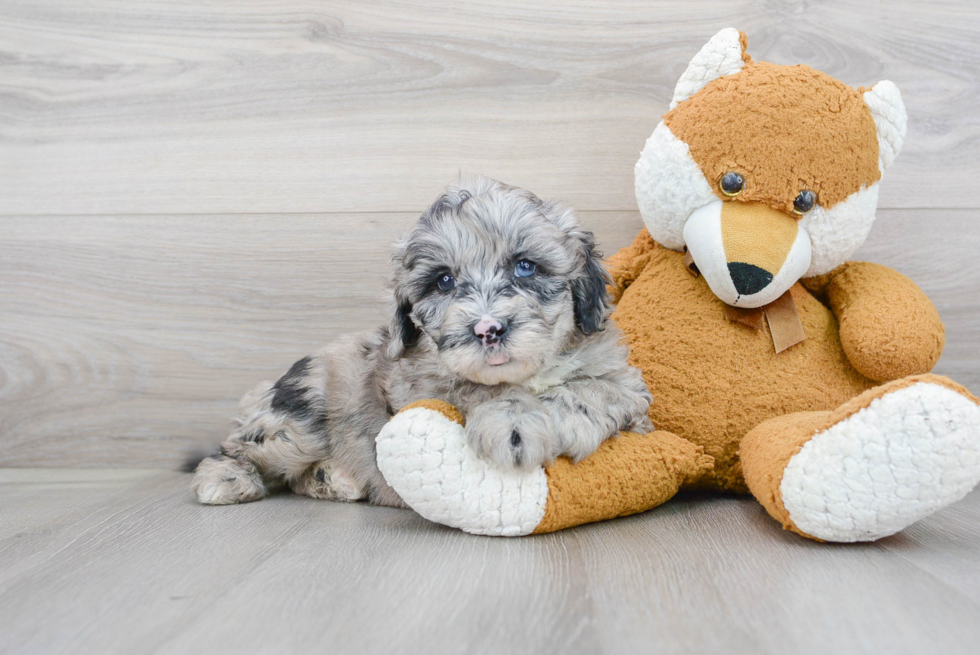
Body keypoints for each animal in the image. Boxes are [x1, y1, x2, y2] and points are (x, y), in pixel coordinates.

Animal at [190, 178, 652, 508]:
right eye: (443, 281)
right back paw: (226, 479)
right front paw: (512, 421)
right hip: (299, 420)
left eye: (526, 267)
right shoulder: (418, 388)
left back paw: (331, 480)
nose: (487, 329)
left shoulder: (628, 386)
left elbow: (597, 388)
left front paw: (560, 416)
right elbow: (476, 389)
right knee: (240, 447)